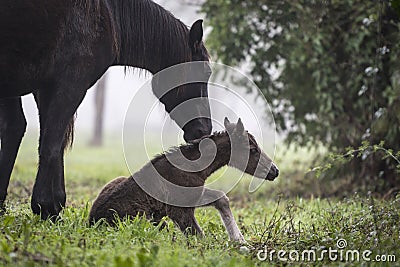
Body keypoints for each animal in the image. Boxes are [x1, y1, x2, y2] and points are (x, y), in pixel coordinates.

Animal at [0, 0, 212, 220]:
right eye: (206, 71)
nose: (204, 129)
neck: (107, 17)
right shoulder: (70, 84)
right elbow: (51, 144)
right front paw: (45, 206)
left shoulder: (40, 88)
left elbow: (39, 137)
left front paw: (52, 204)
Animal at [89, 118, 280, 244]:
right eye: (253, 149)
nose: (274, 171)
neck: (193, 168)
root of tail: (92, 222)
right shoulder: (178, 210)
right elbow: (200, 237)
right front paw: (239, 243)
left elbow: (221, 199)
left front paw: (241, 242)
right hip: (146, 219)